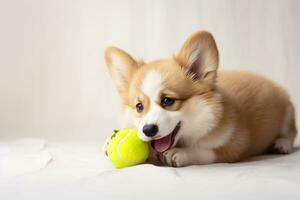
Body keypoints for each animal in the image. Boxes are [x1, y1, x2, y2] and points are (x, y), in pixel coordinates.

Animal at [104, 30, 296, 167]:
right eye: (139, 107)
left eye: (168, 100)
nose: (148, 130)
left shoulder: (232, 146)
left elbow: (204, 151)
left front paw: (180, 153)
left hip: (288, 113)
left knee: (291, 133)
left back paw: (282, 144)